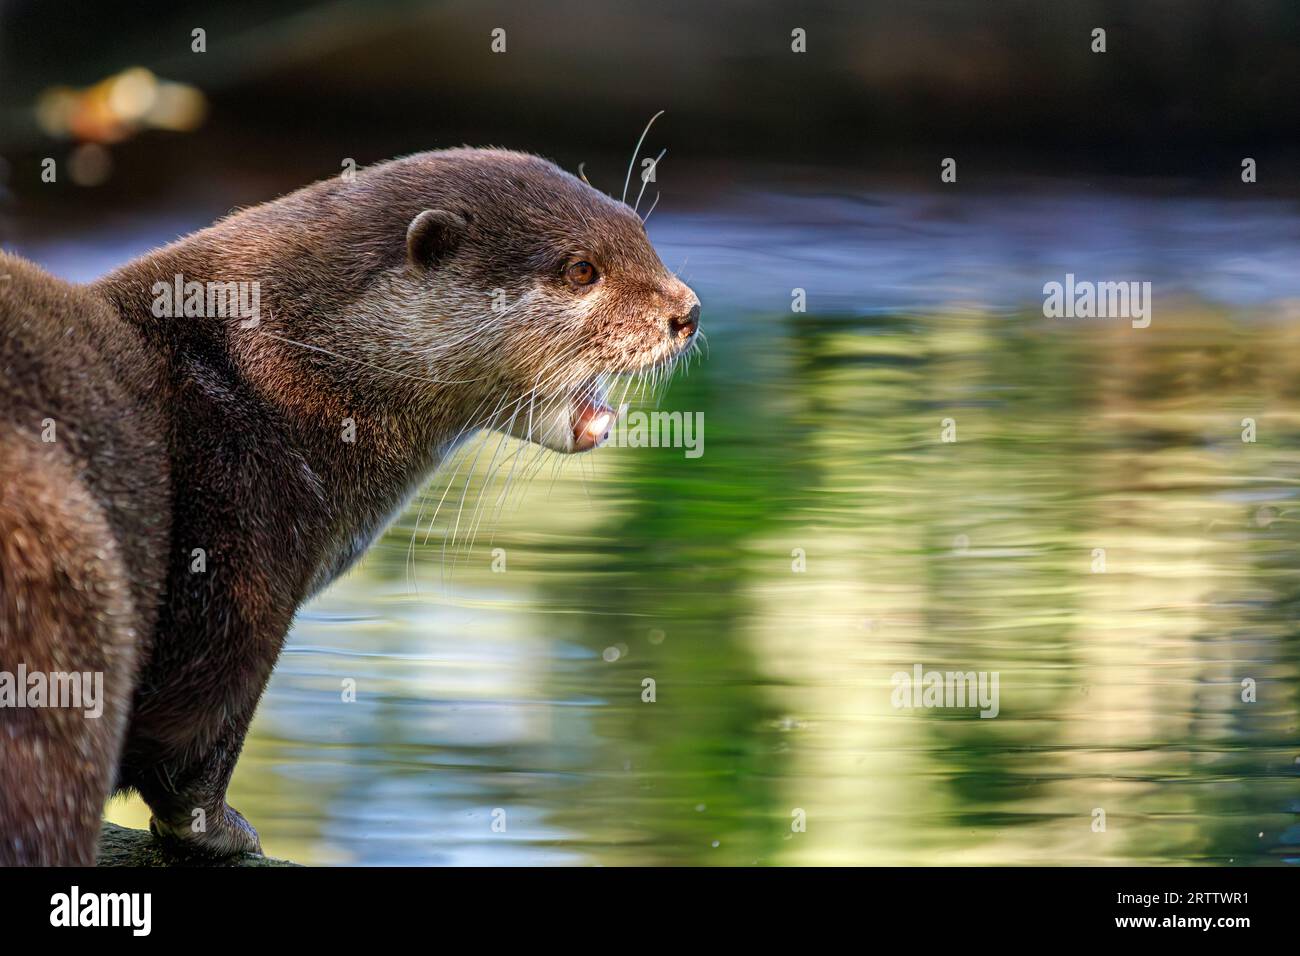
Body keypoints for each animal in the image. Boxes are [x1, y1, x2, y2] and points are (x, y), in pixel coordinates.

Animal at [2, 149, 702, 868]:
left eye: (641, 235)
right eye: (581, 269)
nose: (688, 313)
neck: (273, 384)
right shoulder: (235, 550)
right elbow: (192, 732)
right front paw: (221, 830)